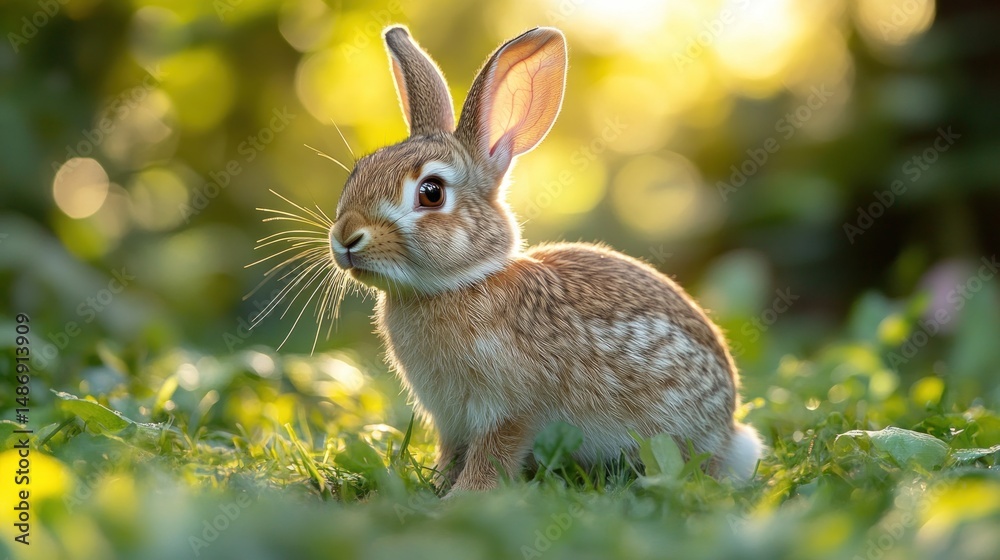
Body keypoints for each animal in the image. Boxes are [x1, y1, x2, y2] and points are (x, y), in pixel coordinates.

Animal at [327, 24, 764, 495]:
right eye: (358, 171)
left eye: (431, 192)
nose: (345, 237)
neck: (459, 283)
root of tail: (731, 434)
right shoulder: (450, 420)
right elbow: (452, 453)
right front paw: (438, 487)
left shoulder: (512, 409)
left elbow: (495, 453)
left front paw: (462, 497)